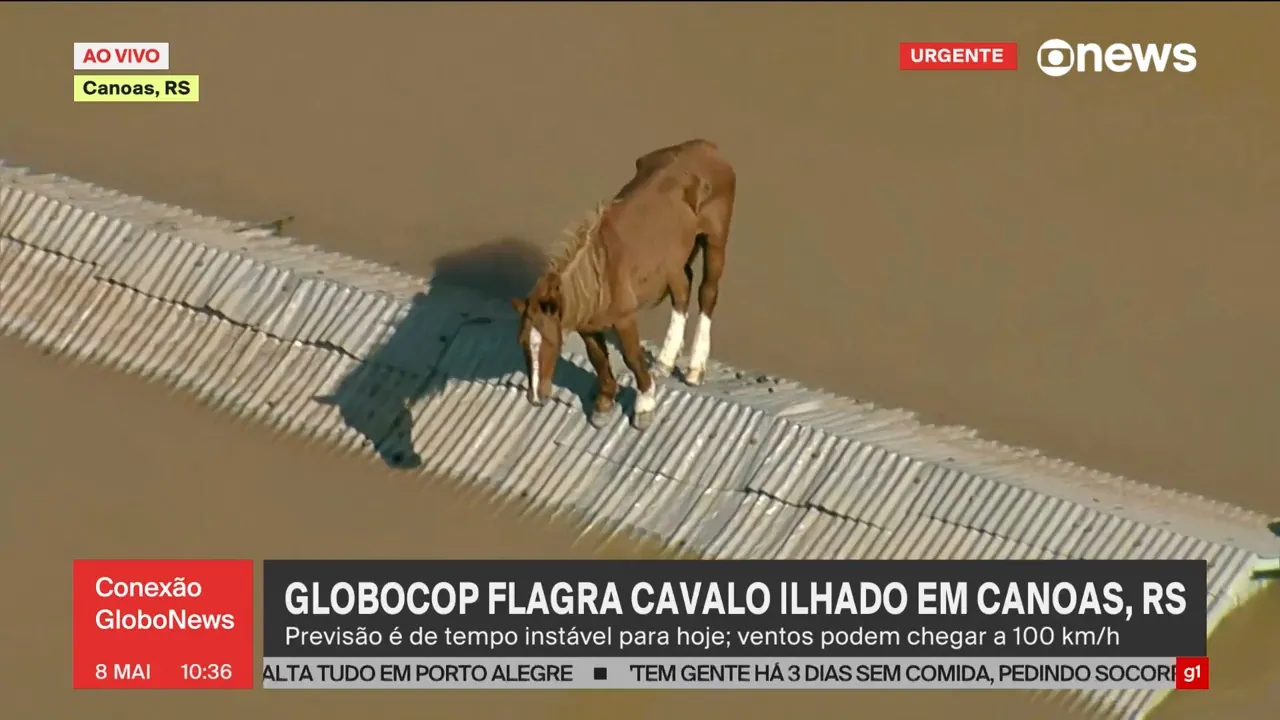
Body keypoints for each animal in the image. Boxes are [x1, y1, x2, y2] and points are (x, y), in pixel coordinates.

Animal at [510, 138, 736, 430]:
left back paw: (695, 370)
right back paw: (665, 360)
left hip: (715, 239)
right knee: (682, 290)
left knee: (707, 292)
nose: (536, 398)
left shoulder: (624, 319)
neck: (600, 274)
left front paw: (644, 406)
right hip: (674, 260)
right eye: (522, 342)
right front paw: (604, 405)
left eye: (550, 341)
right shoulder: (588, 325)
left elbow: (632, 357)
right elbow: (598, 359)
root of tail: (707, 147)